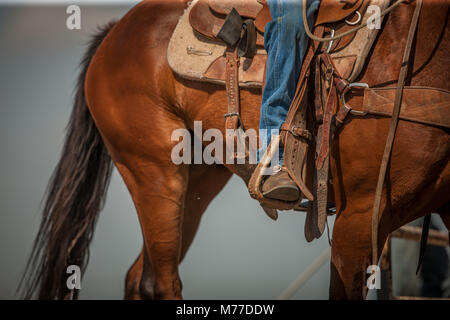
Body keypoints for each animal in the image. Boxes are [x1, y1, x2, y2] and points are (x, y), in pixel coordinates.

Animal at [22, 0, 450, 300]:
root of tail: (115, 33)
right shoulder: (359, 216)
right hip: (154, 174)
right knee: (158, 282)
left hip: (197, 181)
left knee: (137, 276)